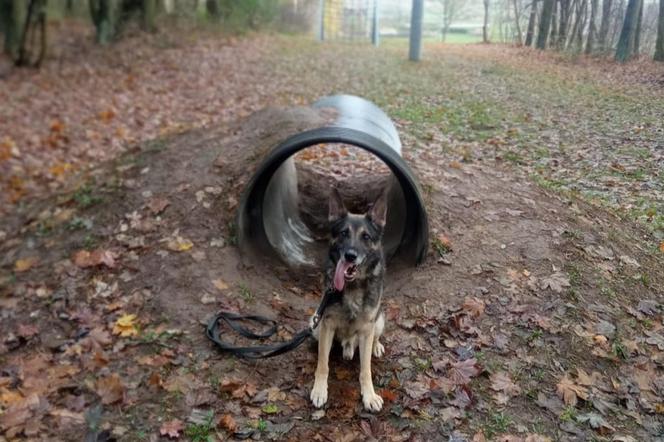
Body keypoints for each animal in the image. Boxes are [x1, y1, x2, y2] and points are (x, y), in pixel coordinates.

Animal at [312, 188, 390, 412]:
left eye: (366, 237)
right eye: (343, 233)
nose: (350, 256)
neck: (353, 286)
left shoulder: (367, 329)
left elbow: (366, 370)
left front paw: (369, 395)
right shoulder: (327, 324)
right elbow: (323, 364)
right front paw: (319, 390)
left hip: (378, 321)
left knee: (374, 338)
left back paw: (376, 346)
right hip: (315, 325)